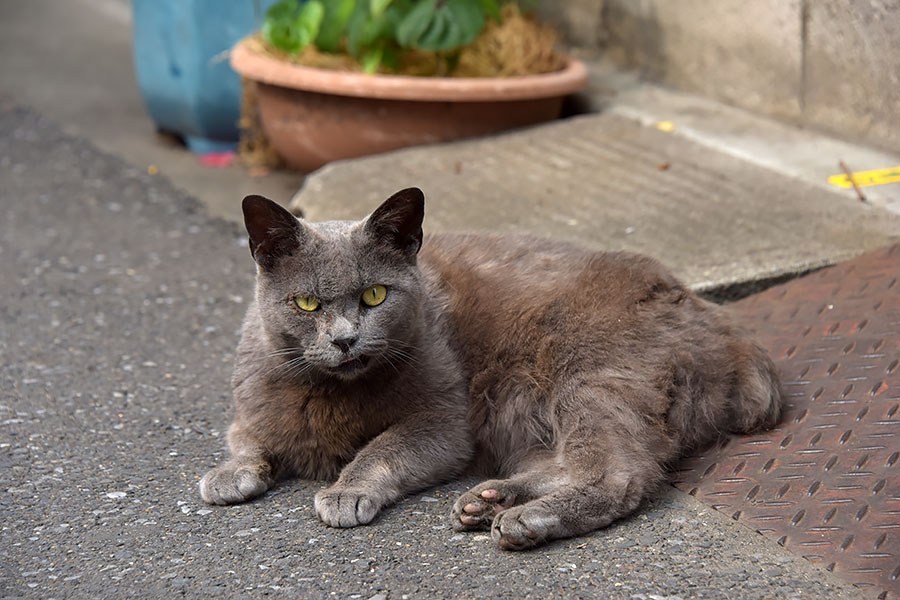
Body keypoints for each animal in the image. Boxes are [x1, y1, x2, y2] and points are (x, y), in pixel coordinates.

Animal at [199, 188, 780, 548]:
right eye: (306, 304)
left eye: (374, 295)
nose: (345, 340)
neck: (330, 393)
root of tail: (724, 328)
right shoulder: (251, 406)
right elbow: (245, 438)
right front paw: (228, 475)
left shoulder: (443, 422)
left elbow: (383, 447)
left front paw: (346, 491)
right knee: (565, 462)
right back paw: (489, 499)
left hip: (589, 373)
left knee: (617, 473)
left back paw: (522, 518)